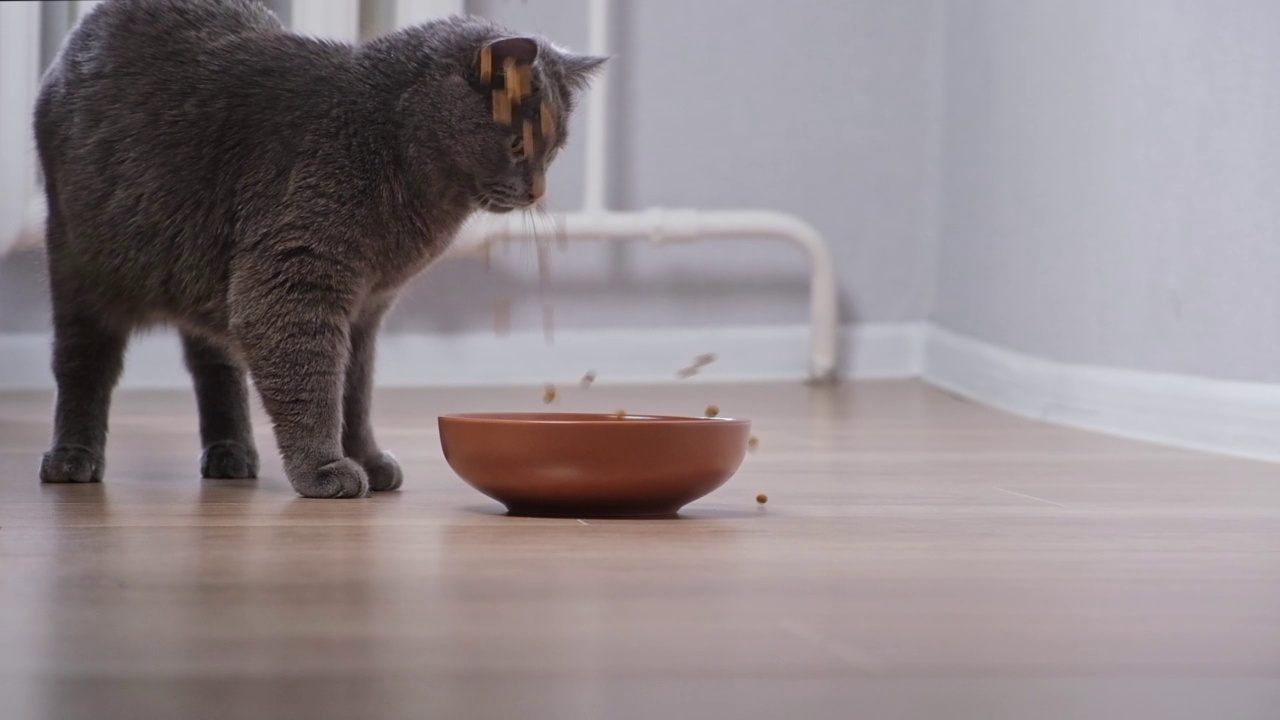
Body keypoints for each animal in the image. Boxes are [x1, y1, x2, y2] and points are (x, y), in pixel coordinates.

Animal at [33, 0, 604, 491]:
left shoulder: (365, 309)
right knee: (83, 366)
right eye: (519, 145)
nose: (537, 192)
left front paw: (366, 458)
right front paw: (325, 469)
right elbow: (311, 381)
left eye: (554, 151)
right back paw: (72, 459)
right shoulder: (293, 281)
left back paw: (231, 455)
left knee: (215, 366)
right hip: (78, 265)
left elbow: (354, 390)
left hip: (201, 276)